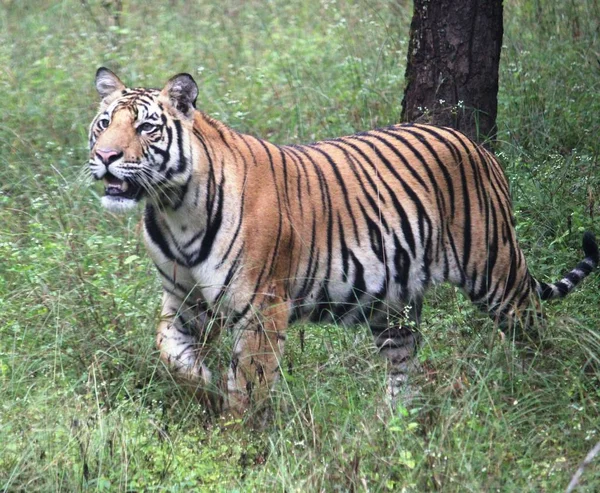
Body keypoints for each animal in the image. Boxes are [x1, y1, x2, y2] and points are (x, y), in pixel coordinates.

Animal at [86, 68, 596, 416]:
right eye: (104, 123)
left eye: (146, 127)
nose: (105, 156)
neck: (173, 207)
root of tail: (476, 144)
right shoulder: (182, 300)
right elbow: (170, 353)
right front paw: (205, 387)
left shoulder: (262, 307)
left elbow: (249, 383)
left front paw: (237, 436)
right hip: (393, 304)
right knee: (402, 362)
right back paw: (393, 425)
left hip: (495, 271)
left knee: (535, 327)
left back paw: (542, 391)